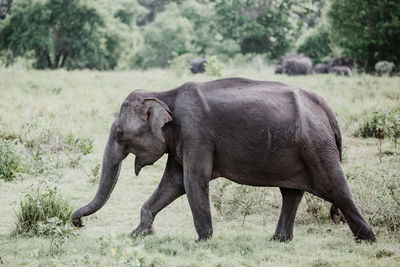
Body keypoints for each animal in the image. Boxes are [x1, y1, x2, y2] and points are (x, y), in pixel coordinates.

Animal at [71, 77, 376, 243]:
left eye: (120, 134)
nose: (77, 223)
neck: (163, 92)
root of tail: (328, 111)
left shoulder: (196, 132)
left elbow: (192, 180)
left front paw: (202, 241)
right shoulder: (183, 139)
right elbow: (173, 182)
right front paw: (138, 234)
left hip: (317, 146)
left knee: (336, 187)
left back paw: (367, 240)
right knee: (291, 192)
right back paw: (278, 240)